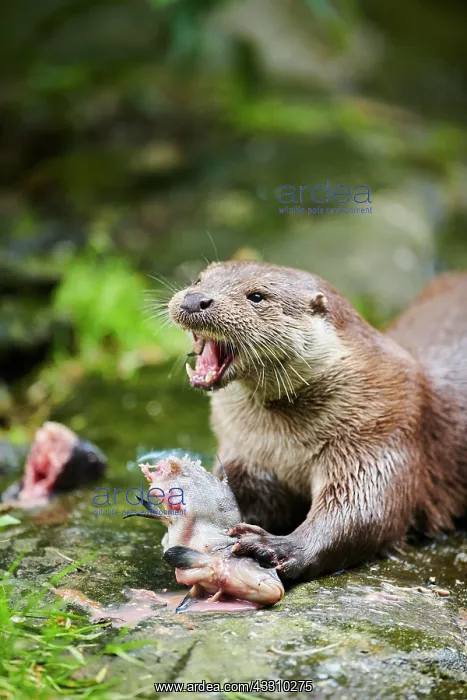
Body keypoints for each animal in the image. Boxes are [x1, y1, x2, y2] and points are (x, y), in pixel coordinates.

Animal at [168, 261, 467, 580]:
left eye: (257, 297)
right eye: (198, 280)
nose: (195, 300)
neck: (283, 443)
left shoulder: (380, 434)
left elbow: (364, 512)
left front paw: (278, 546)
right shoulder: (246, 453)